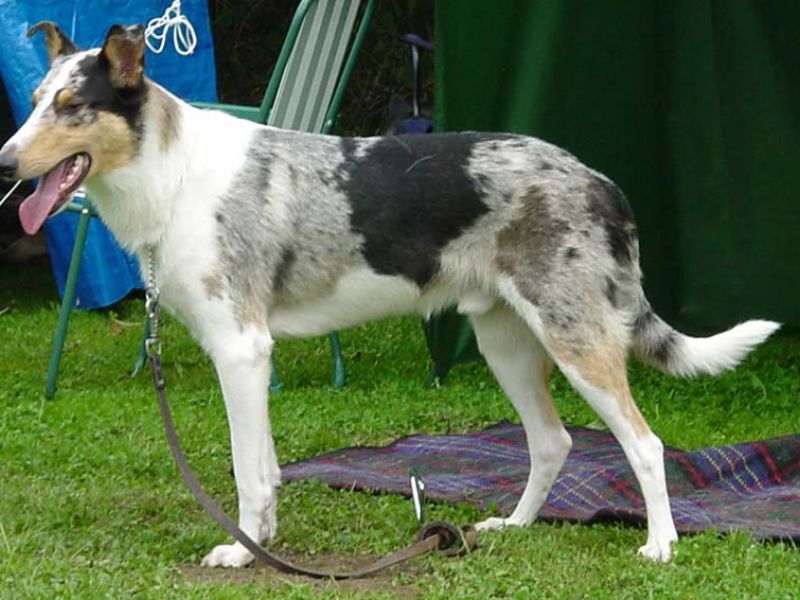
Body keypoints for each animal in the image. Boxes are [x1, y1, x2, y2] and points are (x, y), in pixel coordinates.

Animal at [0, 23, 780, 567]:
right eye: (35, 102)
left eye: (73, 106)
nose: (5, 162)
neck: (171, 174)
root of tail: (598, 179)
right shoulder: (250, 358)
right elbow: (267, 469)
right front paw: (267, 545)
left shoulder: (241, 351)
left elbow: (247, 474)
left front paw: (243, 553)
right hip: (505, 343)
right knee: (553, 441)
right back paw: (514, 527)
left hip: (575, 338)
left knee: (644, 444)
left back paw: (661, 545)